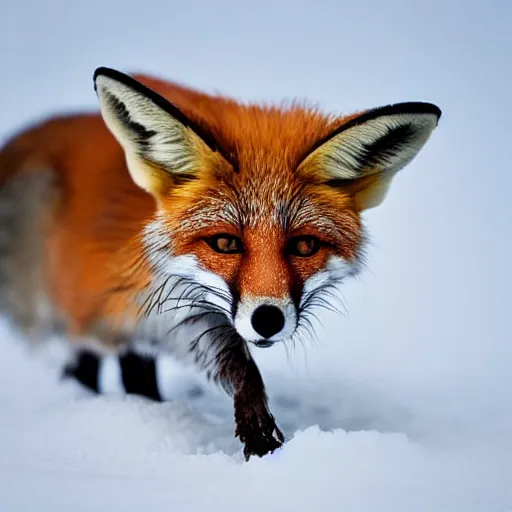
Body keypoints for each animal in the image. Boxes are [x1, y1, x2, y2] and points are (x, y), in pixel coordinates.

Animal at [0, 66, 440, 458]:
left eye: (304, 246)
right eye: (225, 243)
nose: (267, 320)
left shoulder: (175, 313)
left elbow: (239, 365)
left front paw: (261, 440)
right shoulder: (139, 305)